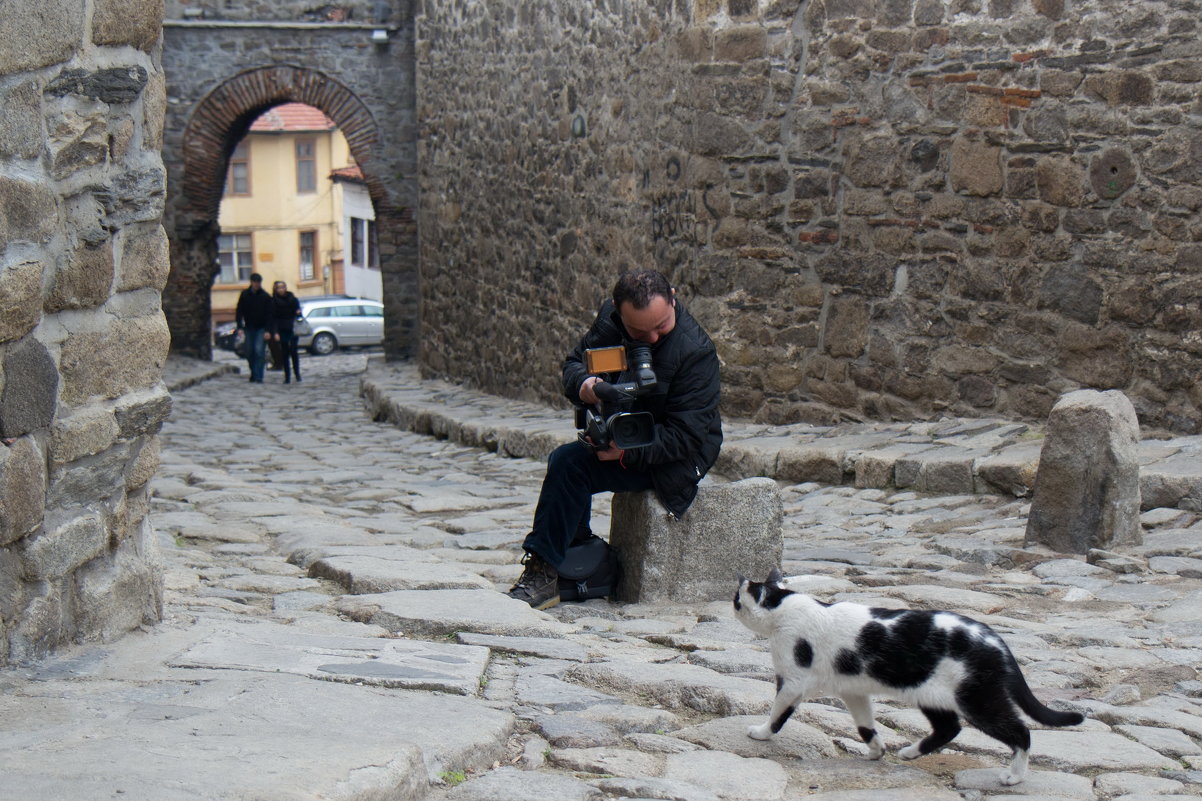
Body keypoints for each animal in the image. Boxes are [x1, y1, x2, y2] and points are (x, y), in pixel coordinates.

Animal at [735, 565, 1086, 784]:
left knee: (1020, 732)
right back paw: (909, 752)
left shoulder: (792, 682)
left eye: (737, 599)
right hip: (931, 693)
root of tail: (996, 640)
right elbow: (865, 726)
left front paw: (761, 733)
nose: (732, 603)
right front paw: (876, 751)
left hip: (977, 699)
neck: (784, 608)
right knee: (949, 728)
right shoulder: (853, 690)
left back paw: (1014, 776)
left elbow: (778, 714)